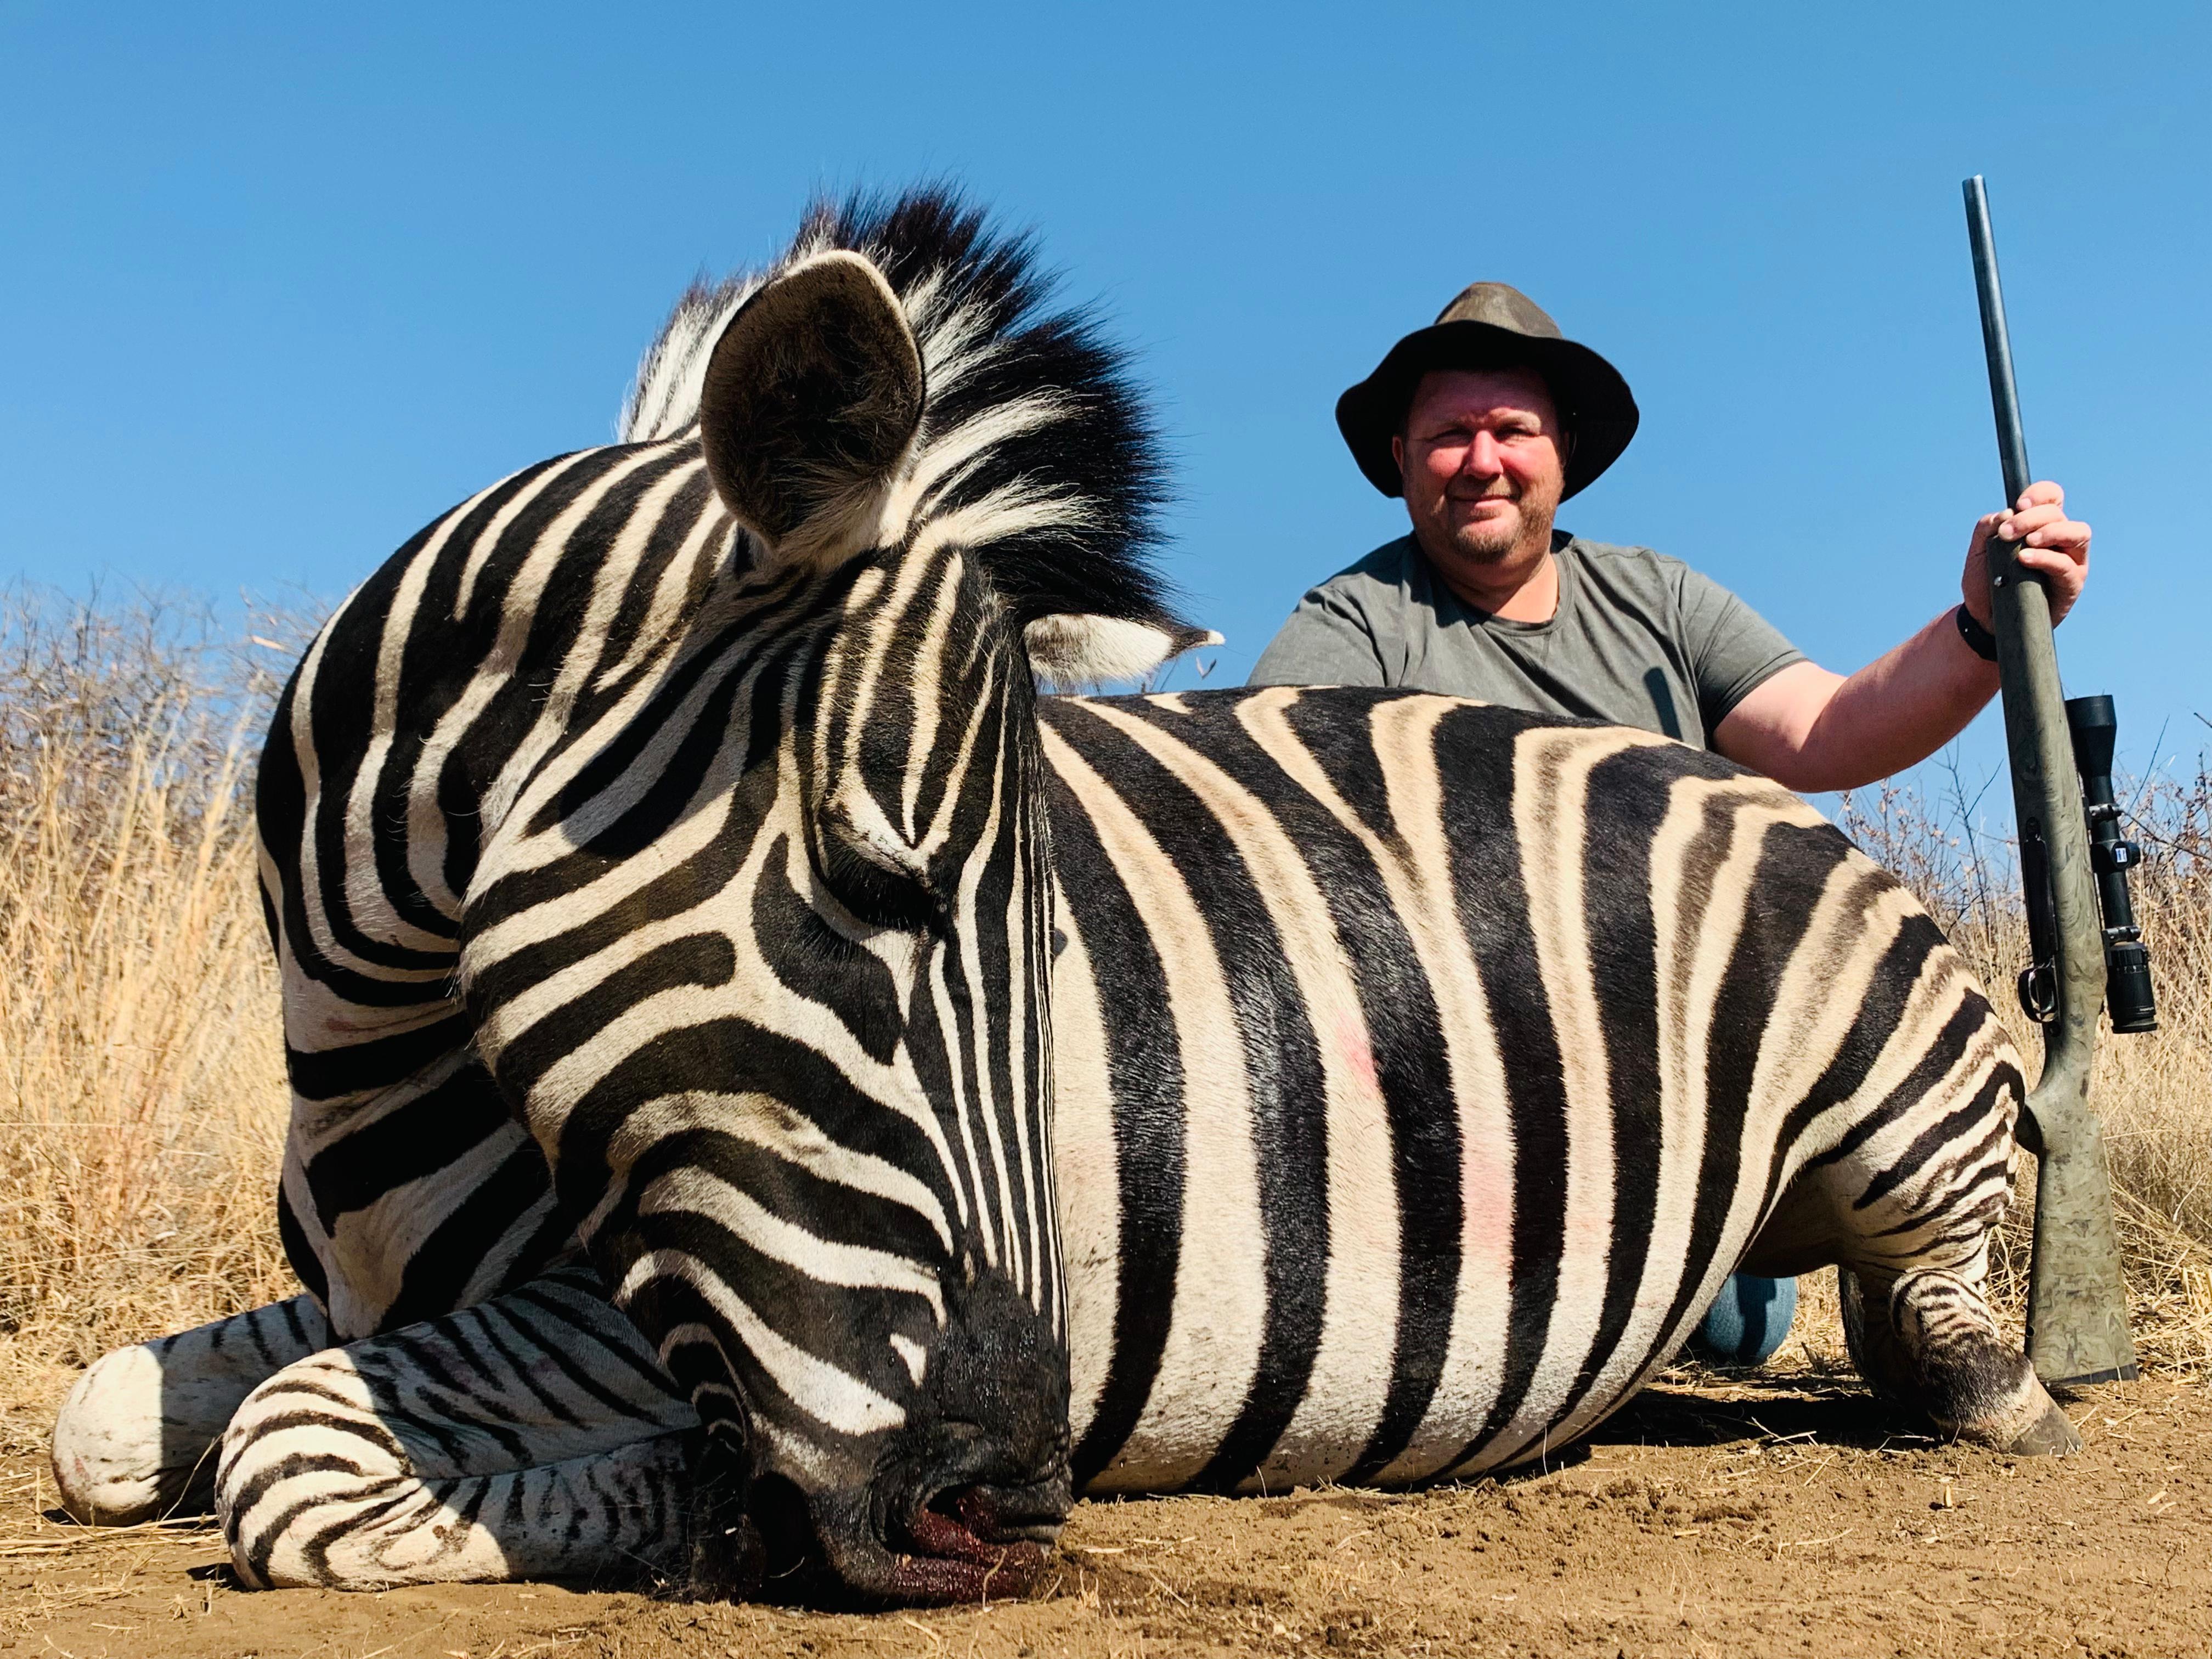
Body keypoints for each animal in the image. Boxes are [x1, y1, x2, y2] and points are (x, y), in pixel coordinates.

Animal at [51, 189, 2077, 1606]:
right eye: (873, 884)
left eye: (1052, 944)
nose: (1011, 1504)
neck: (374, 1042)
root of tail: (1729, 775)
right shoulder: (375, 1291)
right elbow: (101, 1420)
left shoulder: (640, 1307)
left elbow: (288, 1462)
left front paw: (698, 1506)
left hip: (1905, 1132)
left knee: (1953, 1345)